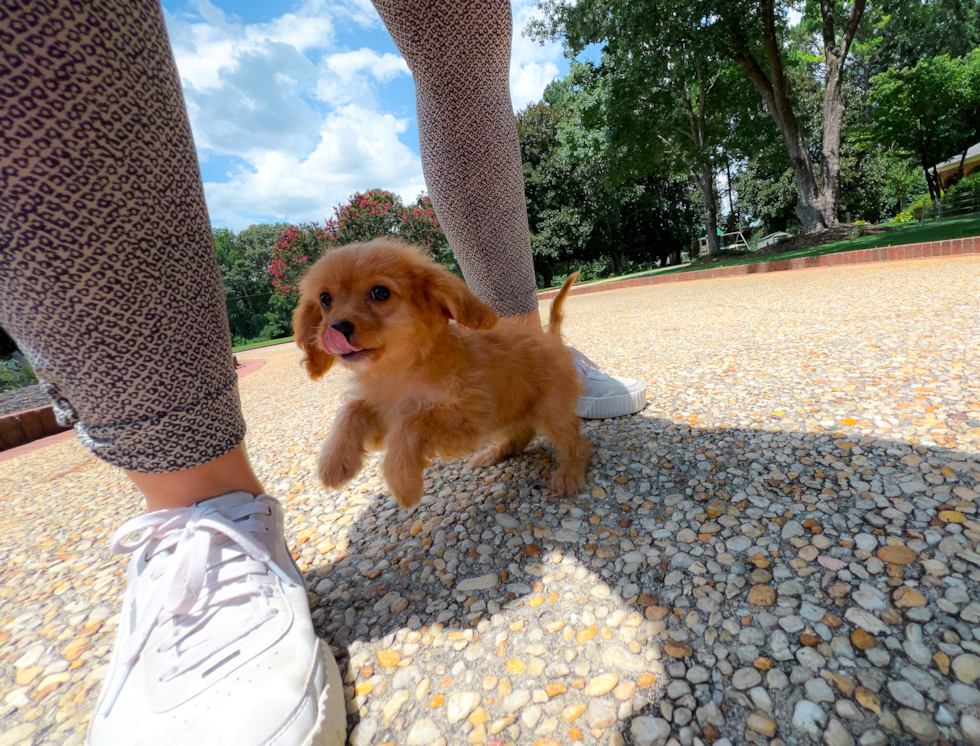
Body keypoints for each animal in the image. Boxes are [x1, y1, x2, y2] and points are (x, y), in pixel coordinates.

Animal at [292, 238, 588, 512]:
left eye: (380, 292)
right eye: (325, 299)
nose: (336, 328)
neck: (398, 370)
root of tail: (551, 337)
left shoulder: (468, 417)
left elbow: (412, 423)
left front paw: (404, 482)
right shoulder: (383, 407)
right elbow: (352, 409)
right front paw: (334, 462)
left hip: (551, 411)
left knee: (577, 444)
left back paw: (569, 474)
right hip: (511, 410)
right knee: (522, 433)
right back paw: (494, 454)